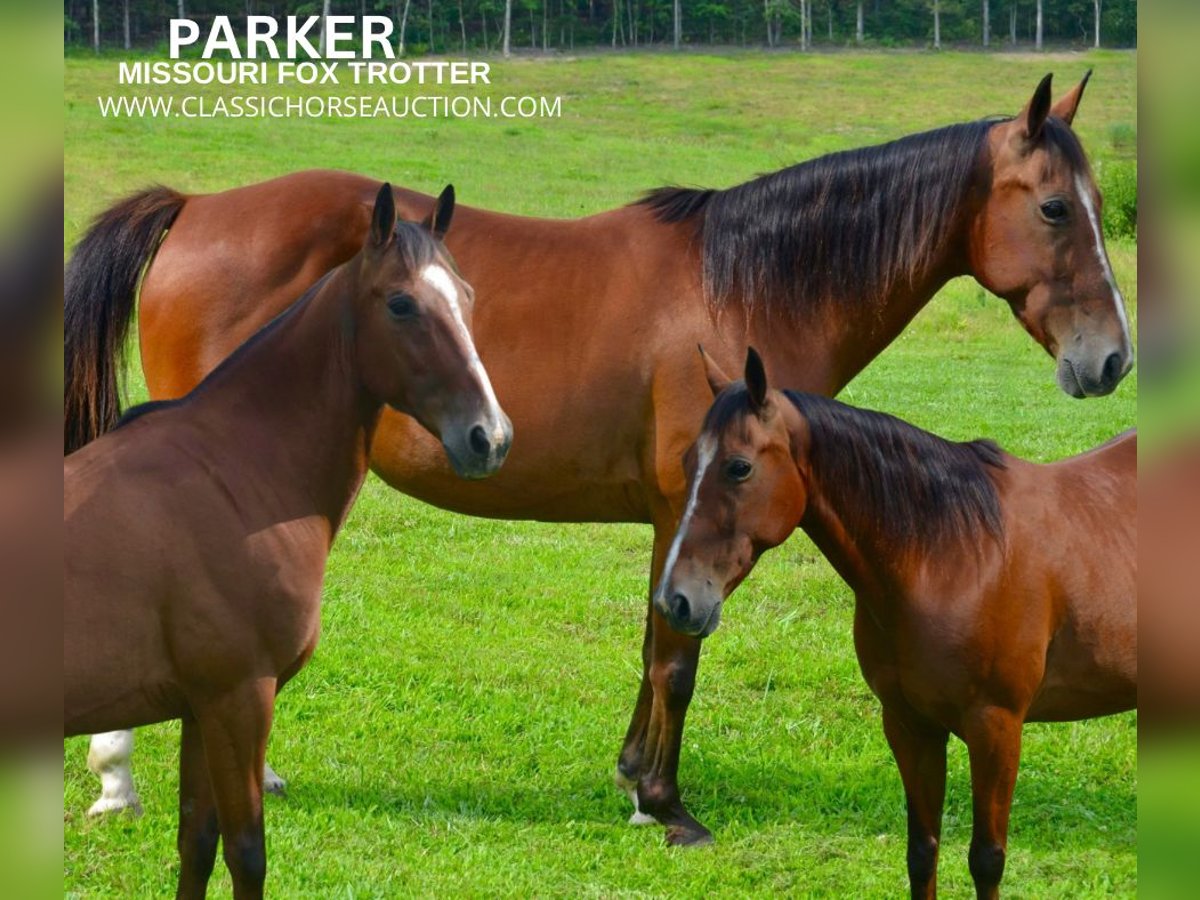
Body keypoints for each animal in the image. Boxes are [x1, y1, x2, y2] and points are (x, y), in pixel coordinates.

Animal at [63, 187, 511, 897]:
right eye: (401, 303)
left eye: (466, 296)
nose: (488, 438)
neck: (234, 472)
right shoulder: (240, 702)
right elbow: (247, 853)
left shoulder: (201, 711)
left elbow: (196, 842)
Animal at [657, 348, 1132, 897]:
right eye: (688, 462)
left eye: (739, 467)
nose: (675, 600)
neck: (956, 556)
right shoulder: (910, 726)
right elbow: (922, 852)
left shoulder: (997, 728)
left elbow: (987, 859)